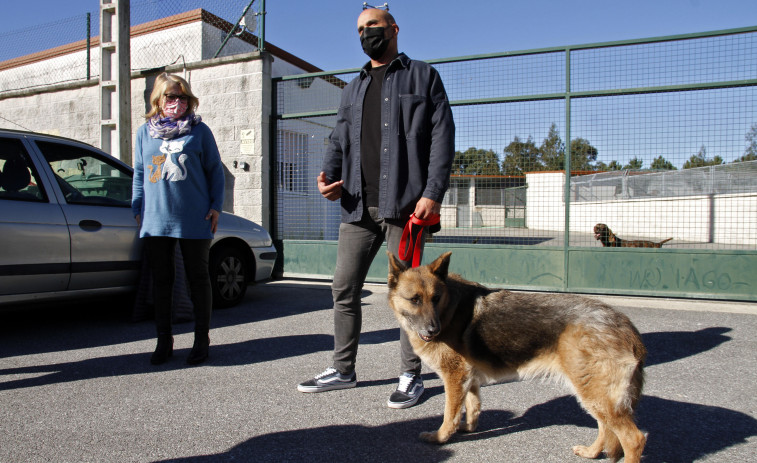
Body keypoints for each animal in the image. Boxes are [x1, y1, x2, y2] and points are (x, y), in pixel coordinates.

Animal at [390, 254, 644, 463]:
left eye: (435, 298)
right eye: (414, 300)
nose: (433, 330)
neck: (449, 308)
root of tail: (626, 325)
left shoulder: (454, 377)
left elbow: (449, 415)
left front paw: (440, 437)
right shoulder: (468, 378)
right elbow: (472, 406)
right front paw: (469, 428)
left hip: (596, 394)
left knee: (633, 439)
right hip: (593, 394)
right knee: (605, 428)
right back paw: (591, 452)